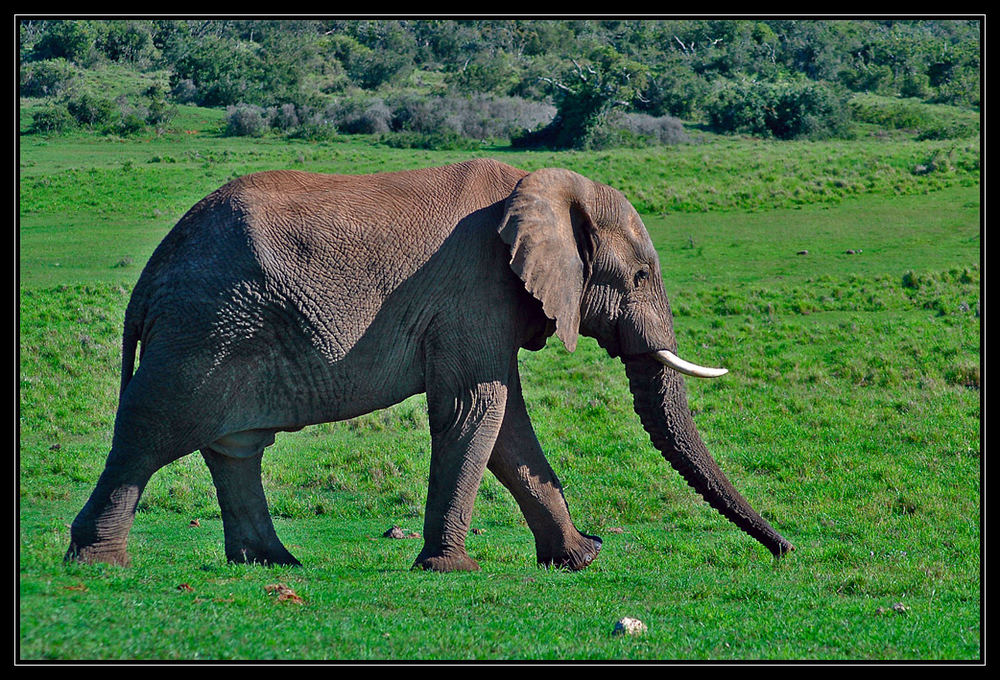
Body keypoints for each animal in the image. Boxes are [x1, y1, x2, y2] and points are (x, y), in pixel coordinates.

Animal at [66, 158, 792, 568]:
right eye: (640, 277)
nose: (786, 550)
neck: (540, 187)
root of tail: (150, 274)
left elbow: (507, 424)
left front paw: (581, 559)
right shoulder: (474, 288)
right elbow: (478, 410)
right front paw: (451, 569)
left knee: (235, 446)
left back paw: (272, 564)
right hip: (204, 327)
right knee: (150, 431)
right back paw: (98, 563)